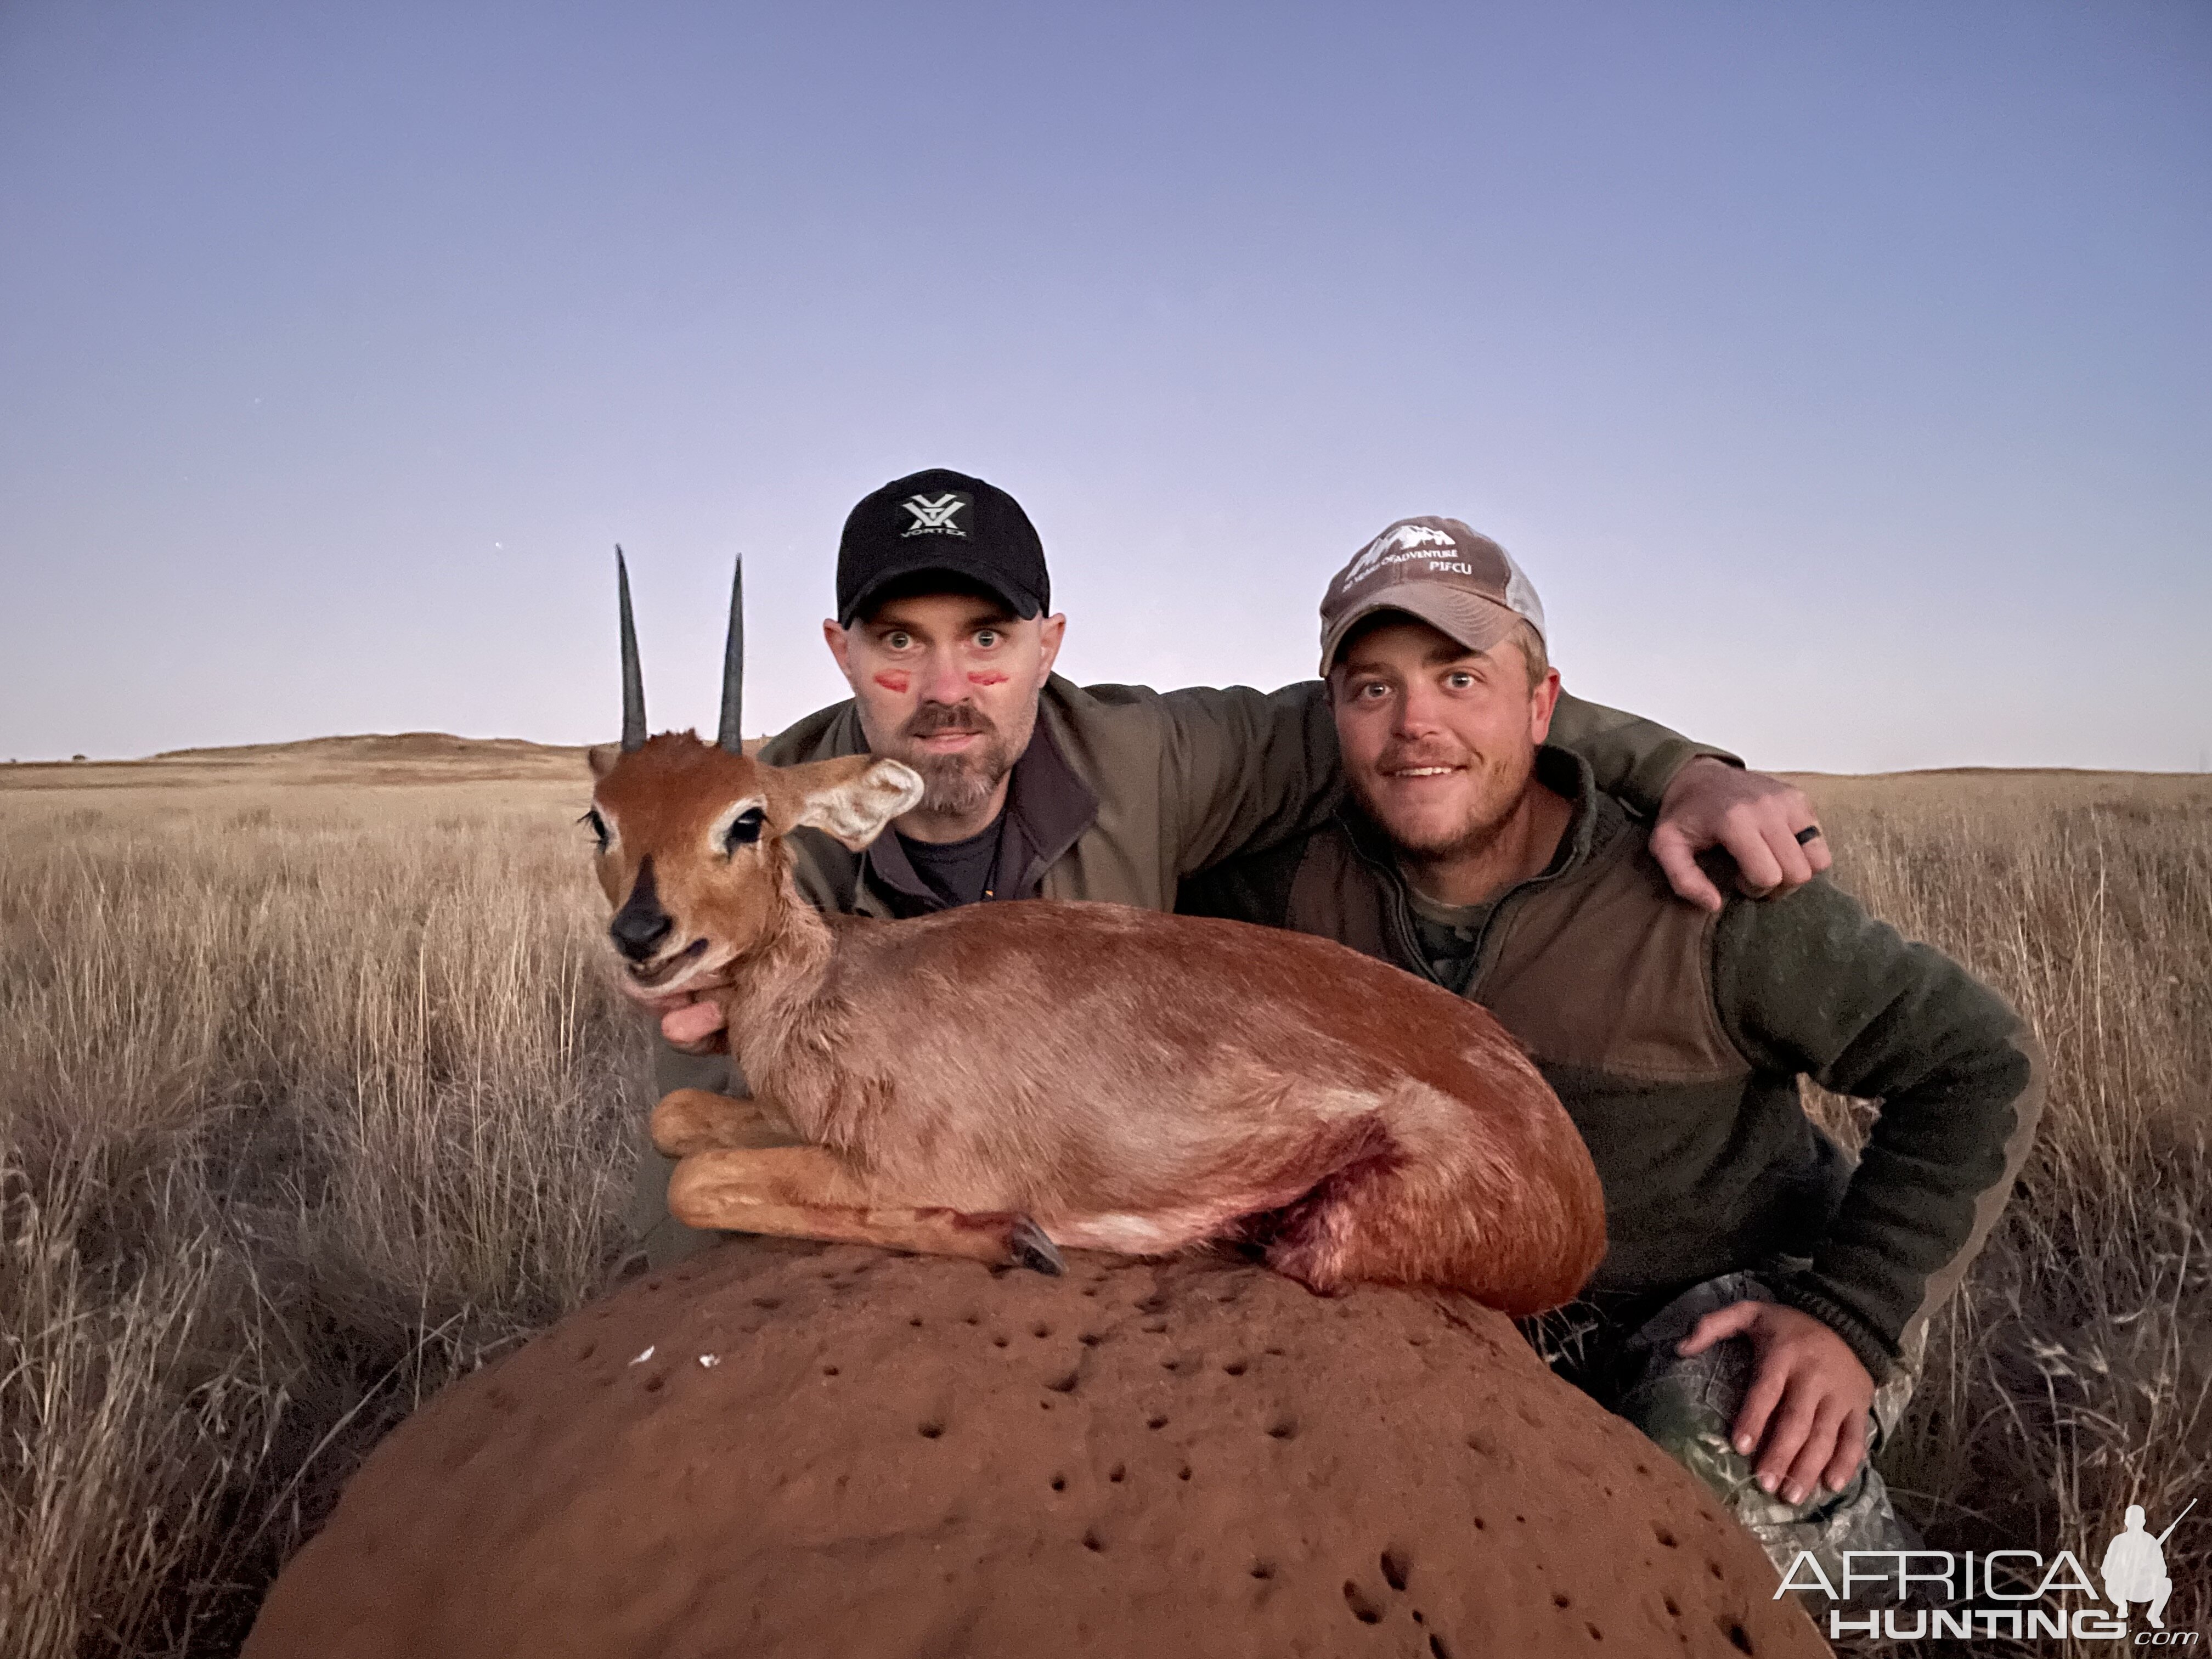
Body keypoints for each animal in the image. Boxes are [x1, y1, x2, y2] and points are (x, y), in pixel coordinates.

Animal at [588, 560, 1610, 1309]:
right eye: (600, 819)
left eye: (746, 818)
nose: (642, 932)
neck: (840, 980)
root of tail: (1582, 1197)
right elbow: (678, 1122)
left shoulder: (900, 1162)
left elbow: (694, 1179)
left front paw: (1014, 1234)